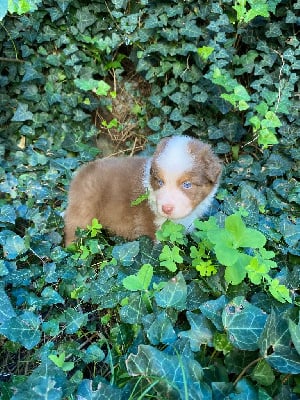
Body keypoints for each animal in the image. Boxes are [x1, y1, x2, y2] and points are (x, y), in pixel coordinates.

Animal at [64, 136, 221, 245]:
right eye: (160, 182)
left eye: (187, 184)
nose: (166, 208)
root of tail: (82, 170)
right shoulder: (155, 232)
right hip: (83, 212)